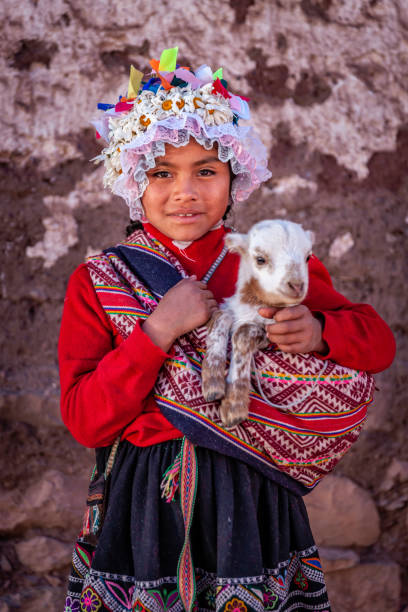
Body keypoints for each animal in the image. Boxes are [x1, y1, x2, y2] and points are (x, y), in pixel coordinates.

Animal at [202, 219, 314, 426]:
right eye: (260, 259)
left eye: (308, 257)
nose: (296, 285)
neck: (251, 307)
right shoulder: (231, 307)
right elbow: (221, 317)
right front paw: (212, 382)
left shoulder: (270, 334)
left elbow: (242, 334)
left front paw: (233, 406)